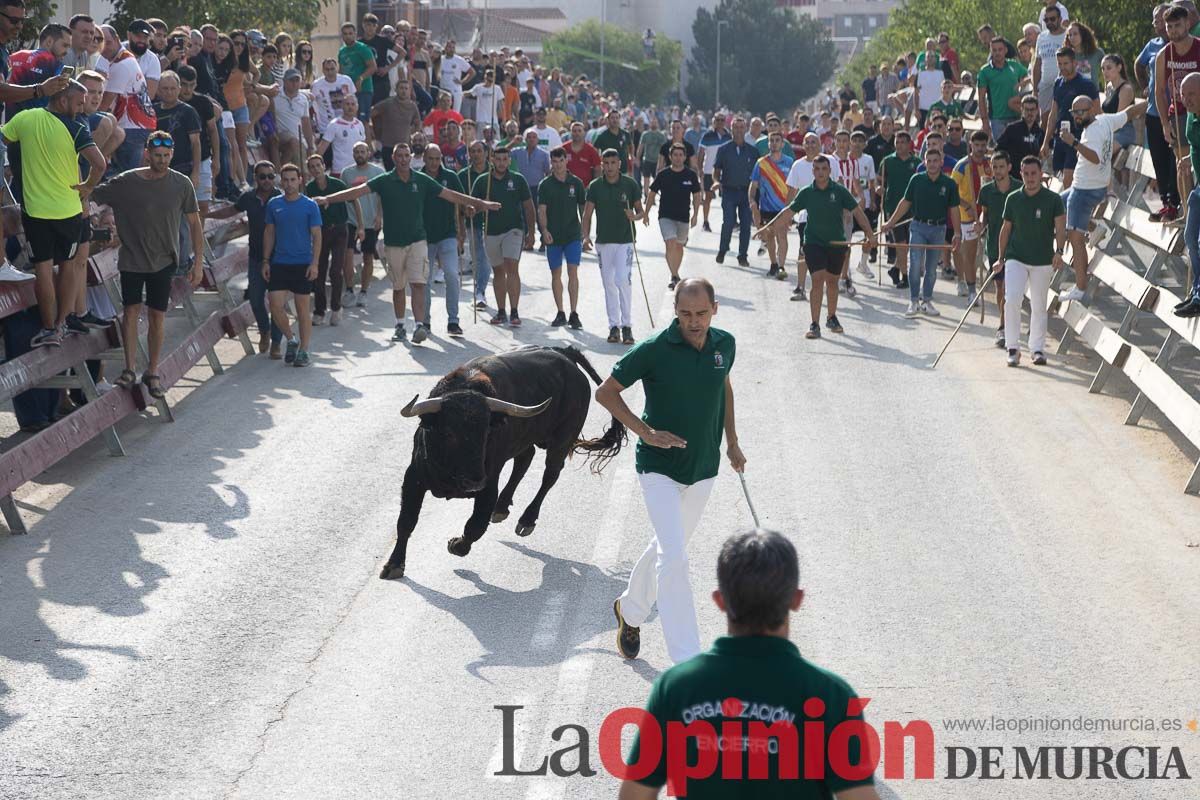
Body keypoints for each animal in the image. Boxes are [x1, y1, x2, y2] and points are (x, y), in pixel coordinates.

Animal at [384, 347, 628, 578]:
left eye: (486, 431)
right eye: (449, 433)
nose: (474, 481)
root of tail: (565, 353)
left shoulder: (489, 485)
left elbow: (476, 526)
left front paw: (457, 545)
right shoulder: (413, 479)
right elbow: (406, 522)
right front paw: (394, 565)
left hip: (562, 439)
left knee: (550, 475)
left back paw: (527, 520)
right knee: (525, 459)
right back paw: (501, 507)